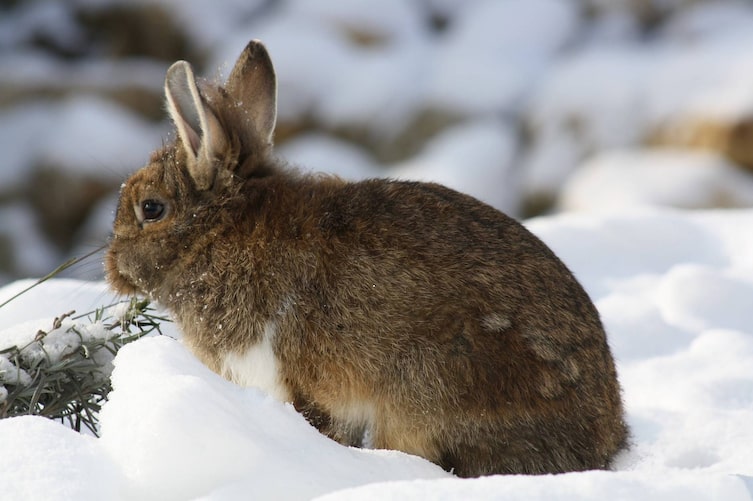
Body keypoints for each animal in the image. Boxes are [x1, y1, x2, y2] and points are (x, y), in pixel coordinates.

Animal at [103, 39, 624, 476]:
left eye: (151, 209)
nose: (111, 269)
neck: (220, 233)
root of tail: (604, 444)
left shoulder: (300, 384)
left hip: (432, 386)